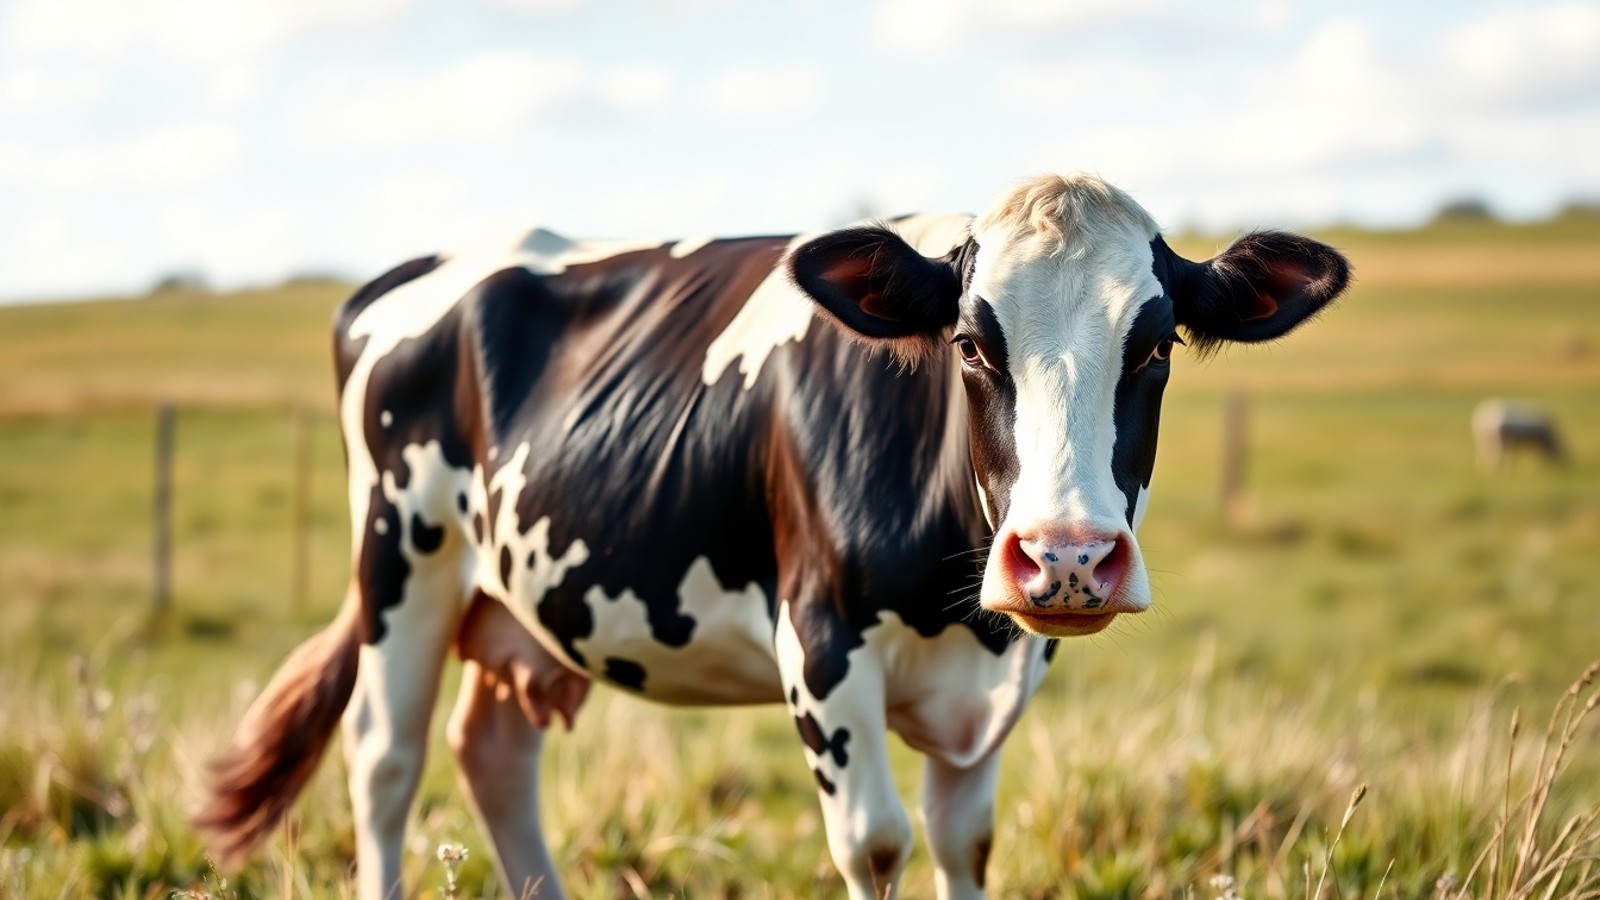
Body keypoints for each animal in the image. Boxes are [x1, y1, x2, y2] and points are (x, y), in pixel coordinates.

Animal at [198, 173, 1349, 899]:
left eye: (1154, 348)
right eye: (972, 345)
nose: (1066, 556)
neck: (960, 620)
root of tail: (407, 274)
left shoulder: (1001, 682)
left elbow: (963, 842)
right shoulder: (821, 646)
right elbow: (877, 845)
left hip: (518, 597)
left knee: (492, 753)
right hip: (404, 557)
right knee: (384, 763)